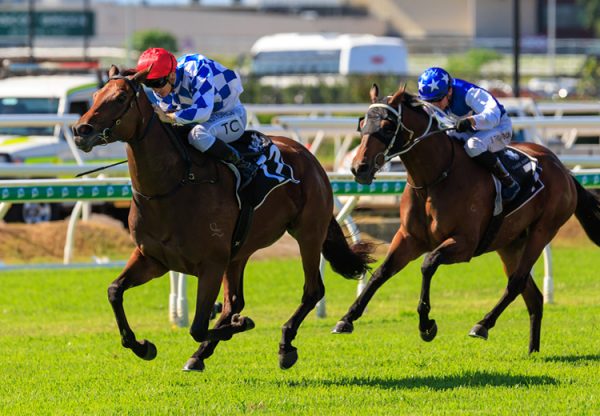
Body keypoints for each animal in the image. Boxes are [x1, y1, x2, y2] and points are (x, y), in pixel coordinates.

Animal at [71, 66, 376, 372]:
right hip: (240, 251)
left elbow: (197, 326)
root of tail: (310, 158)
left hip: (308, 233)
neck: (171, 187)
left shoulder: (211, 265)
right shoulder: (153, 259)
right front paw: (142, 346)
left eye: (121, 97)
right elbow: (114, 291)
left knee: (312, 290)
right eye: (95, 96)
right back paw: (201, 354)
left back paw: (285, 344)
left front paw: (239, 326)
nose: (80, 131)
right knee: (234, 301)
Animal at [332, 84, 600, 354]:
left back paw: (482, 325)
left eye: (387, 126)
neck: (435, 178)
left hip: (541, 232)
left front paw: (426, 325)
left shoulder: (465, 244)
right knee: (533, 296)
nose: (359, 168)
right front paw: (347, 318)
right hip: (510, 244)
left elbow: (428, 264)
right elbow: (381, 272)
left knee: (516, 282)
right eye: (363, 123)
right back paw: (532, 350)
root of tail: (563, 169)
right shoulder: (409, 238)